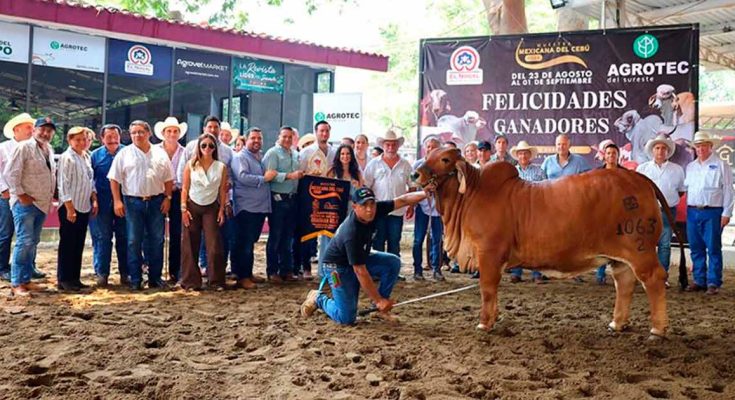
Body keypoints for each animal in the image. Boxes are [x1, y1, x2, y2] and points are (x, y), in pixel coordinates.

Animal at [414, 148, 672, 340]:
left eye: (445, 158)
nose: (415, 175)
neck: (470, 196)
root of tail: (638, 178)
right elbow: (493, 290)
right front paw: (495, 318)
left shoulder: (489, 253)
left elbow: (487, 289)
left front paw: (484, 324)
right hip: (620, 258)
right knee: (624, 283)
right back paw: (617, 324)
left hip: (641, 250)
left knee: (654, 279)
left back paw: (657, 330)